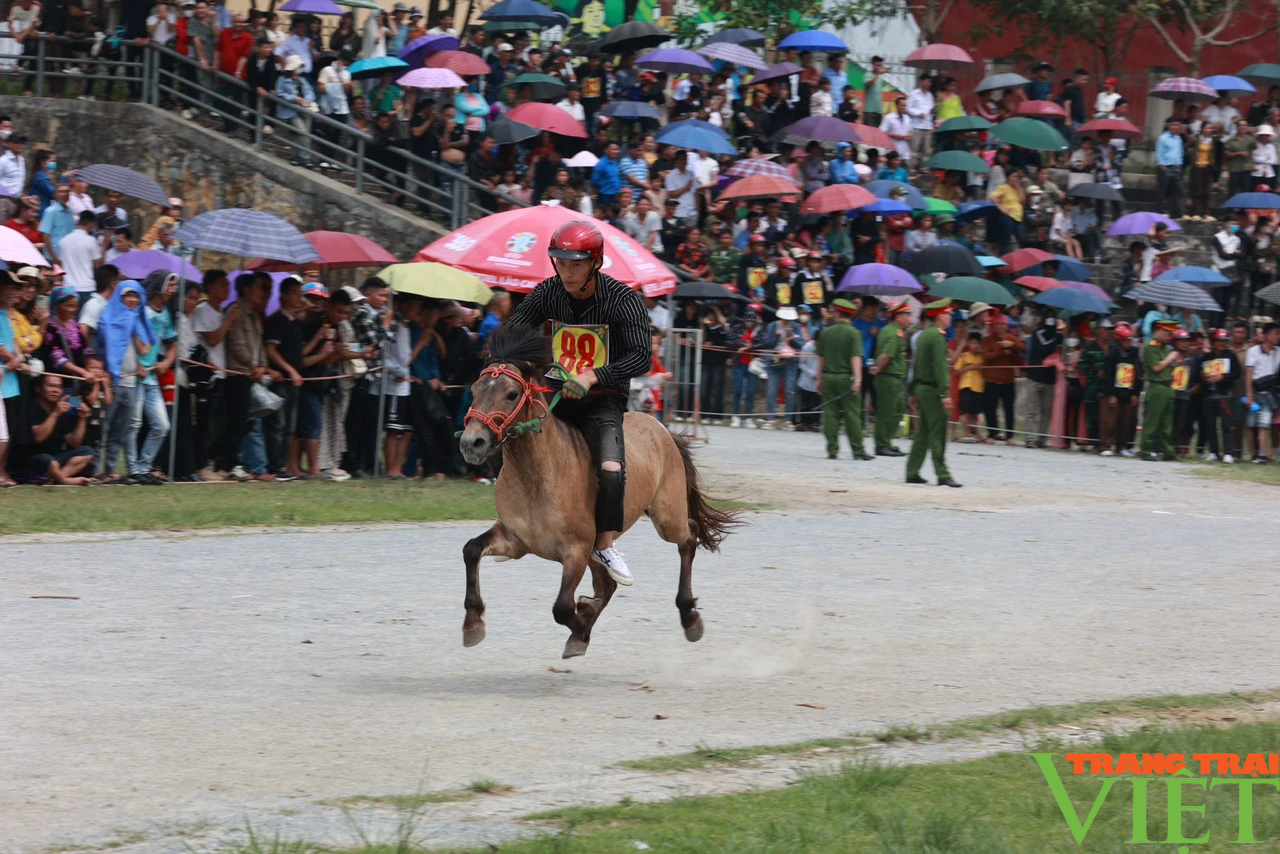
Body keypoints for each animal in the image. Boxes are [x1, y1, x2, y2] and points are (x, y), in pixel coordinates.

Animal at [460, 323, 742, 660]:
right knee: (609, 585)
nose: (471, 443)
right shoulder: (514, 540)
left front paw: (581, 624)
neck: (538, 477)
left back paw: (689, 616)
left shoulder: (576, 551)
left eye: (511, 394)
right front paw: (473, 622)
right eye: (475, 390)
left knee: (689, 536)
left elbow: (562, 607)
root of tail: (661, 428)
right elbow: (471, 550)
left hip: (666, 517)